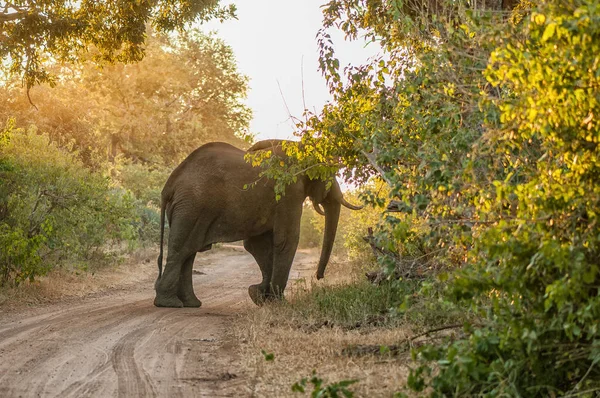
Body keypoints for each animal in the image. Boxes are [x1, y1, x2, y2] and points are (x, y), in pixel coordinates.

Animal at [155, 140, 360, 308]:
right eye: (330, 174)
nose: (319, 277)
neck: (299, 146)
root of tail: (169, 184)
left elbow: (257, 245)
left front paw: (258, 296)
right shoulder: (288, 191)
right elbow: (286, 241)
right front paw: (278, 303)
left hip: (188, 208)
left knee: (188, 252)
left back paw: (190, 304)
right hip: (193, 206)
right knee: (182, 250)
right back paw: (169, 303)